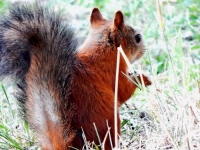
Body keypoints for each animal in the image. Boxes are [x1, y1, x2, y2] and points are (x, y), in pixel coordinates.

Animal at [0, 3, 151, 150]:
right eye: (137, 38)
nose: (144, 49)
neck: (102, 51)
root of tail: (67, 144)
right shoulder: (115, 74)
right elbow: (124, 91)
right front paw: (144, 79)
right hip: (109, 124)